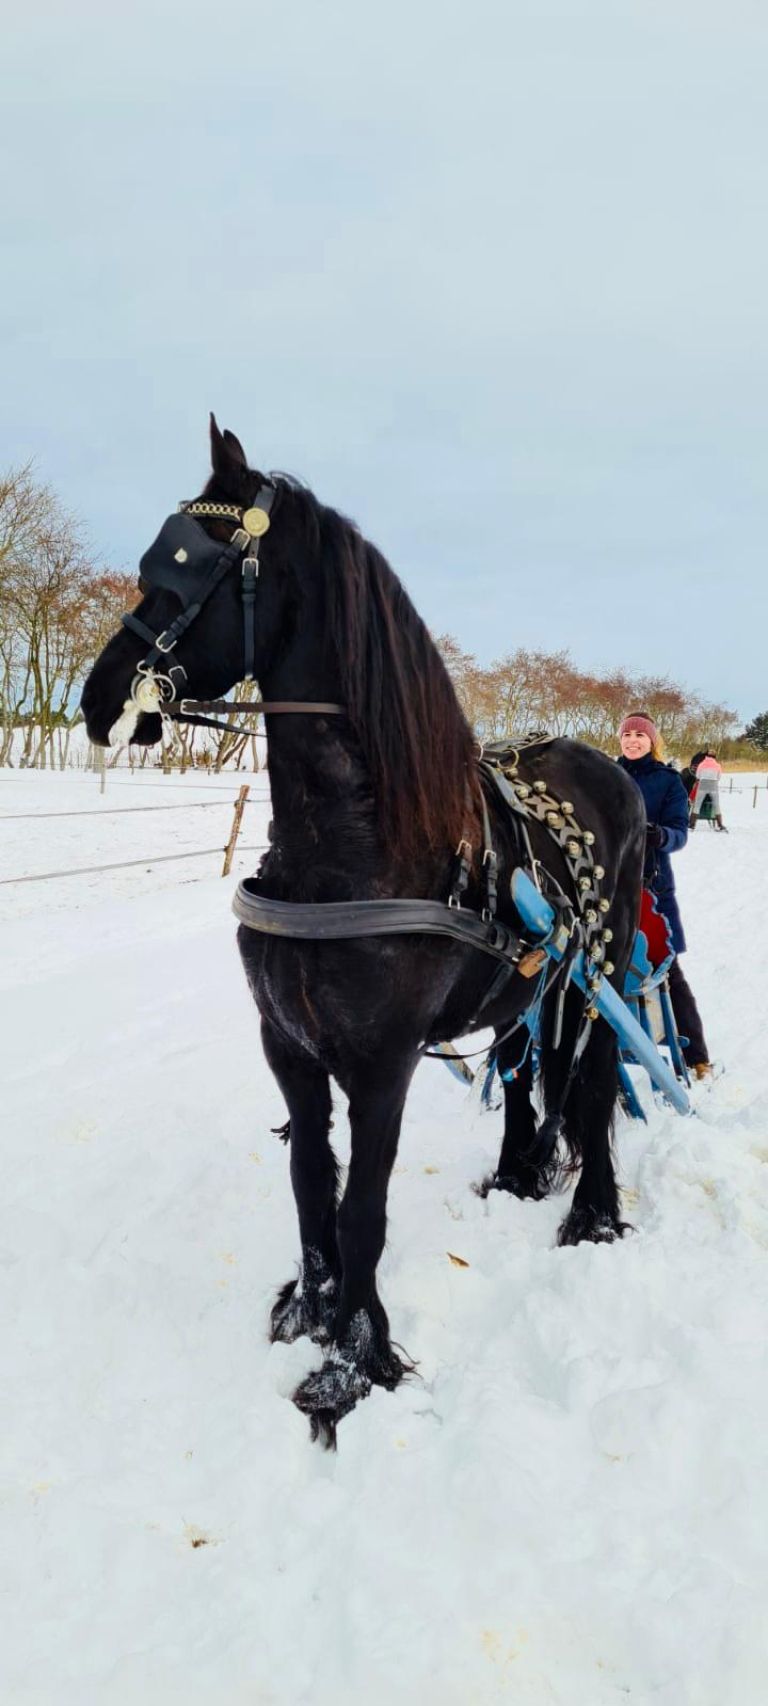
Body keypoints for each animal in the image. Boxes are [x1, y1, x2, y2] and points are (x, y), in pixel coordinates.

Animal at [81, 419, 645, 1446]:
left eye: (186, 566)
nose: (99, 699)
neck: (355, 843)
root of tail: (607, 766)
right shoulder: (289, 1049)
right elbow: (313, 1186)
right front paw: (310, 1312)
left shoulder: (383, 1065)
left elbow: (362, 1211)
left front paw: (350, 1366)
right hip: (528, 987)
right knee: (521, 1072)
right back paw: (518, 1172)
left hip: (602, 972)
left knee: (586, 1084)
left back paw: (590, 1213)